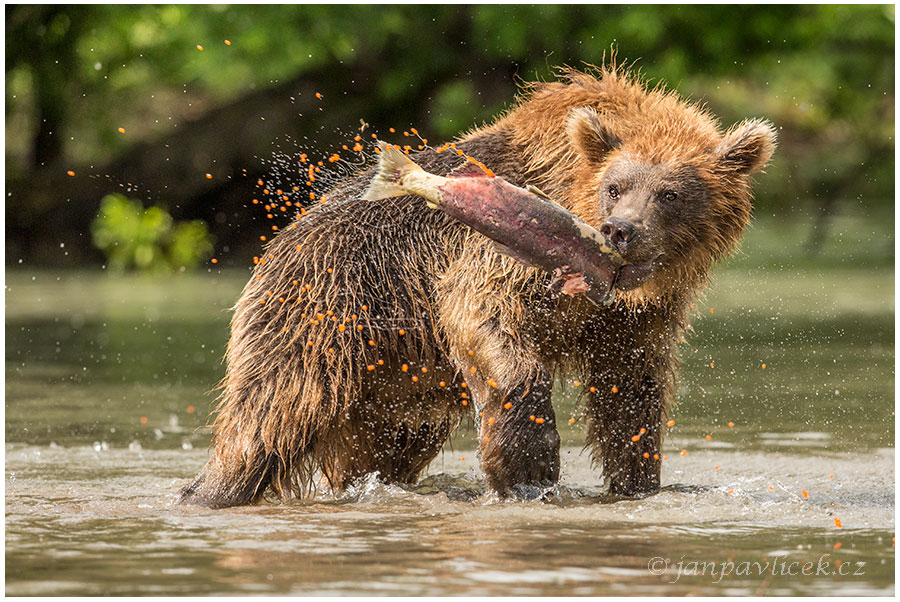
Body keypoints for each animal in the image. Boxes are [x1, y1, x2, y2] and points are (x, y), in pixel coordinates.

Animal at [178, 63, 772, 506]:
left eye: (670, 193)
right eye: (616, 186)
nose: (620, 230)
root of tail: (278, 243)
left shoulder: (637, 318)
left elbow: (631, 393)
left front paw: (639, 479)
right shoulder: (498, 257)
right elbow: (486, 317)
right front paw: (527, 468)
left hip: (397, 375)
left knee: (387, 445)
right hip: (324, 316)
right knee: (266, 418)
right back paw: (208, 490)